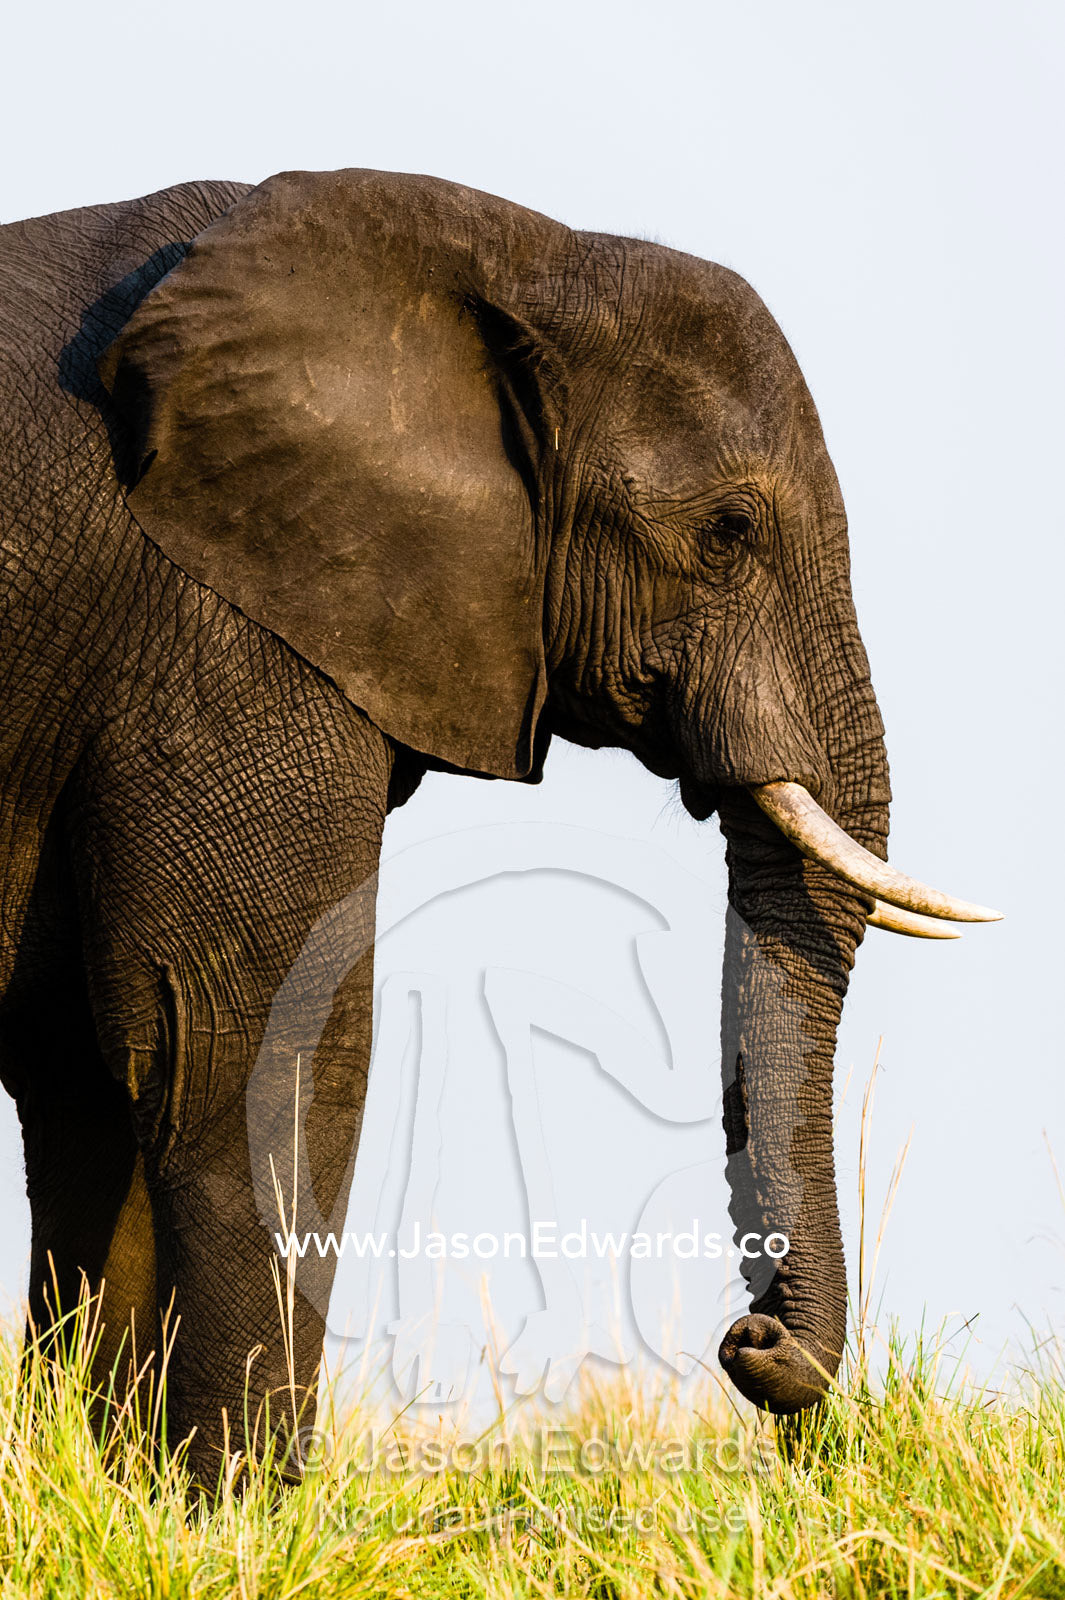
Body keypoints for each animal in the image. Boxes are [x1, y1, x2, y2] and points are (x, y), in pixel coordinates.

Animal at [0, 168, 999, 1473]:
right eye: (727, 532)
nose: (751, 1340)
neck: (512, 255)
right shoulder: (224, 632)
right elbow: (249, 1039)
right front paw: (234, 1502)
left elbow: (93, 1058)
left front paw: (129, 1487)